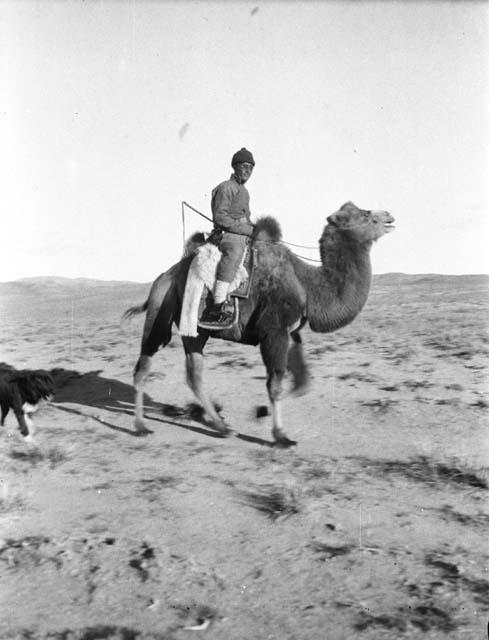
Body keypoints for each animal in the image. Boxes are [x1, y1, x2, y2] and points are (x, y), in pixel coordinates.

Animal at [124, 202, 394, 448]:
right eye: (365, 215)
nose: (389, 216)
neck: (309, 285)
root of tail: (164, 276)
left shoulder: (290, 333)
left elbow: (302, 383)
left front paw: (262, 411)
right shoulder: (274, 332)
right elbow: (275, 384)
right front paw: (280, 435)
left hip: (195, 331)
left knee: (194, 375)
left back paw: (220, 425)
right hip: (161, 310)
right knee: (144, 366)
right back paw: (140, 426)